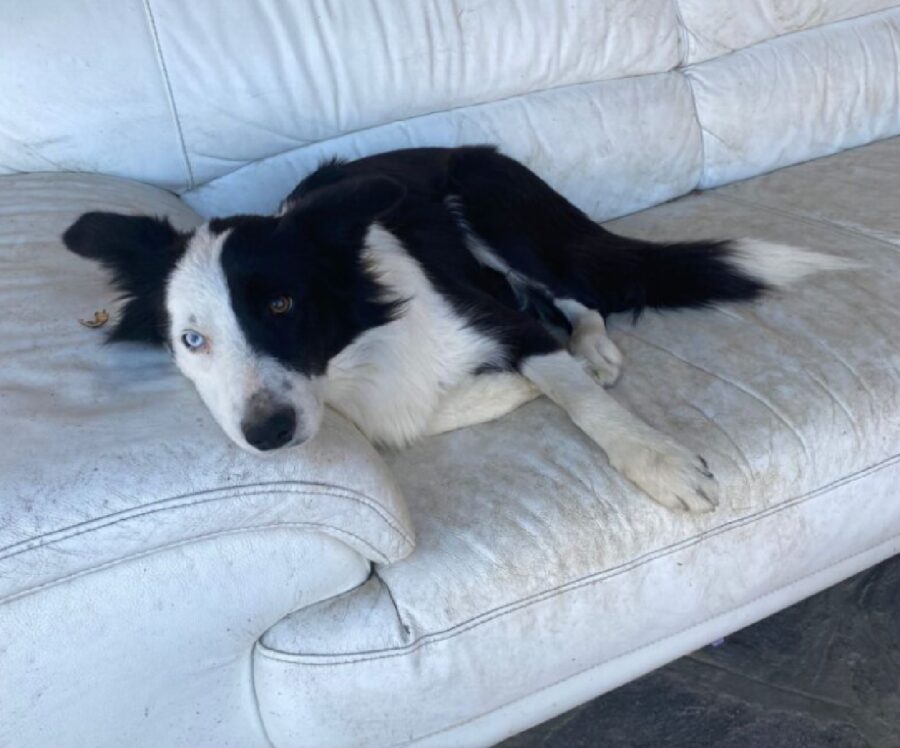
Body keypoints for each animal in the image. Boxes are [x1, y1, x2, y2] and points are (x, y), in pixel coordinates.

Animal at [65, 148, 852, 516]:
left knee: (577, 295)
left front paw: (654, 458)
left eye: (283, 305)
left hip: (490, 202)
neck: (353, 355)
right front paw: (509, 392)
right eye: (191, 341)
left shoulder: (501, 322)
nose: (268, 435)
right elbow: (411, 419)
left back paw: (592, 346)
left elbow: (582, 400)